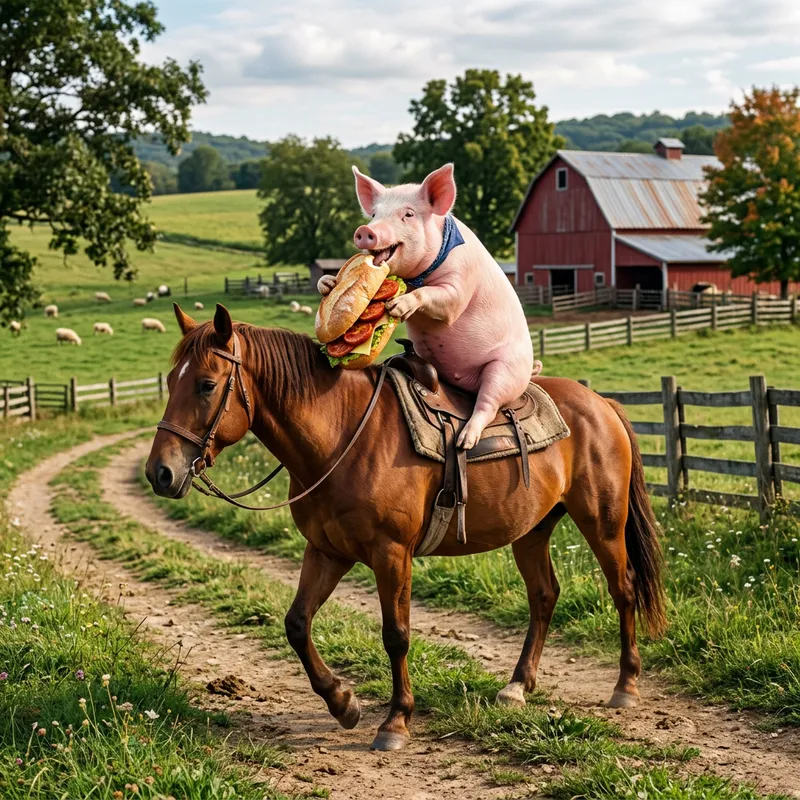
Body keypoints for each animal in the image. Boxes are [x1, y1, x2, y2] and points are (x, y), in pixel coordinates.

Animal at [145, 304, 665, 752]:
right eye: (171, 380)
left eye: (207, 385)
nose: (160, 473)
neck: (342, 435)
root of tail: (601, 404)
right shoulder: (327, 551)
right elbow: (296, 624)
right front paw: (343, 703)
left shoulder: (391, 554)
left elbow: (395, 635)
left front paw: (395, 721)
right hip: (532, 531)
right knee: (544, 595)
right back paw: (518, 685)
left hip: (603, 523)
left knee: (623, 588)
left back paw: (626, 684)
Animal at [318, 163, 538, 451]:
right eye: (375, 213)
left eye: (408, 214)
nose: (366, 230)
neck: (416, 276)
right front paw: (328, 283)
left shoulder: (460, 283)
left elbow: (442, 299)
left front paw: (397, 306)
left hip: (506, 370)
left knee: (488, 403)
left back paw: (465, 442)